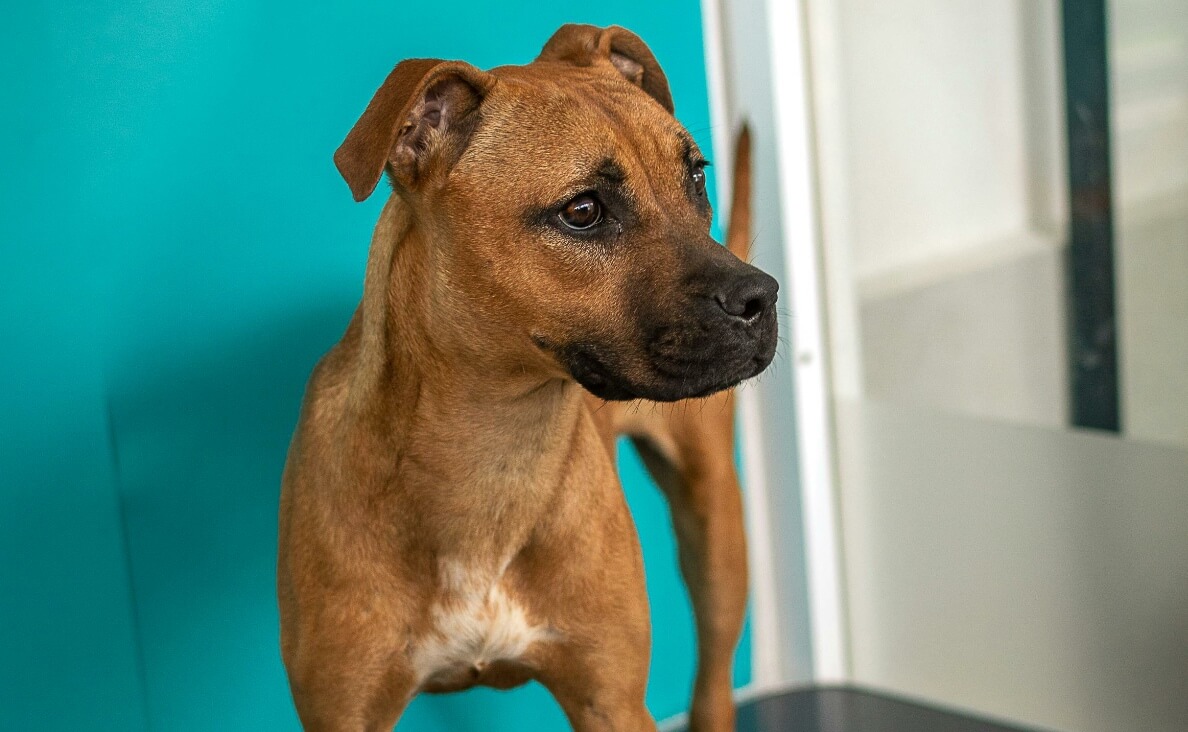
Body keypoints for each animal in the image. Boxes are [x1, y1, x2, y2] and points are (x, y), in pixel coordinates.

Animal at [279, 24, 779, 732]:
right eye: (583, 210)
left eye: (696, 176)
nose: (760, 298)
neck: (494, 449)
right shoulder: (344, 708)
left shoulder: (611, 699)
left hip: (715, 535)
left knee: (712, 680)